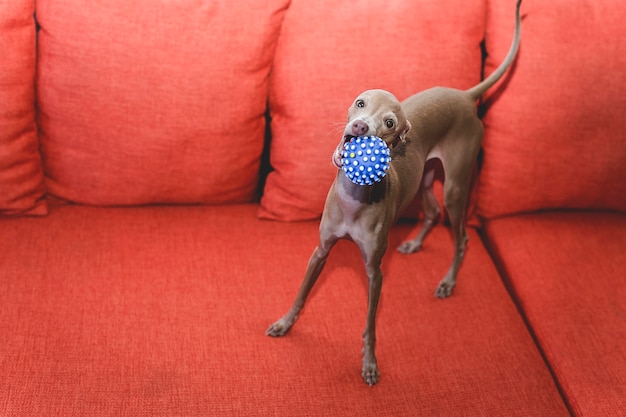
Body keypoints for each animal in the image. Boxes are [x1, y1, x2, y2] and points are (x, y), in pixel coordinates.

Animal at [266, 0, 520, 386]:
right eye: (360, 103)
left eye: (389, 123)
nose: (359, 127)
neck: (353, 198)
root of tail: (464, 95)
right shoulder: (321, 251)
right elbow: (302, 293)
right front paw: (285, 323)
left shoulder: (375, 272)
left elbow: (370, 323)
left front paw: (369, 362)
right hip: (425, 179)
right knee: (432, 212)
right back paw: (414, 243)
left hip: (456, 187)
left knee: (460, 236)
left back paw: (448, 283)